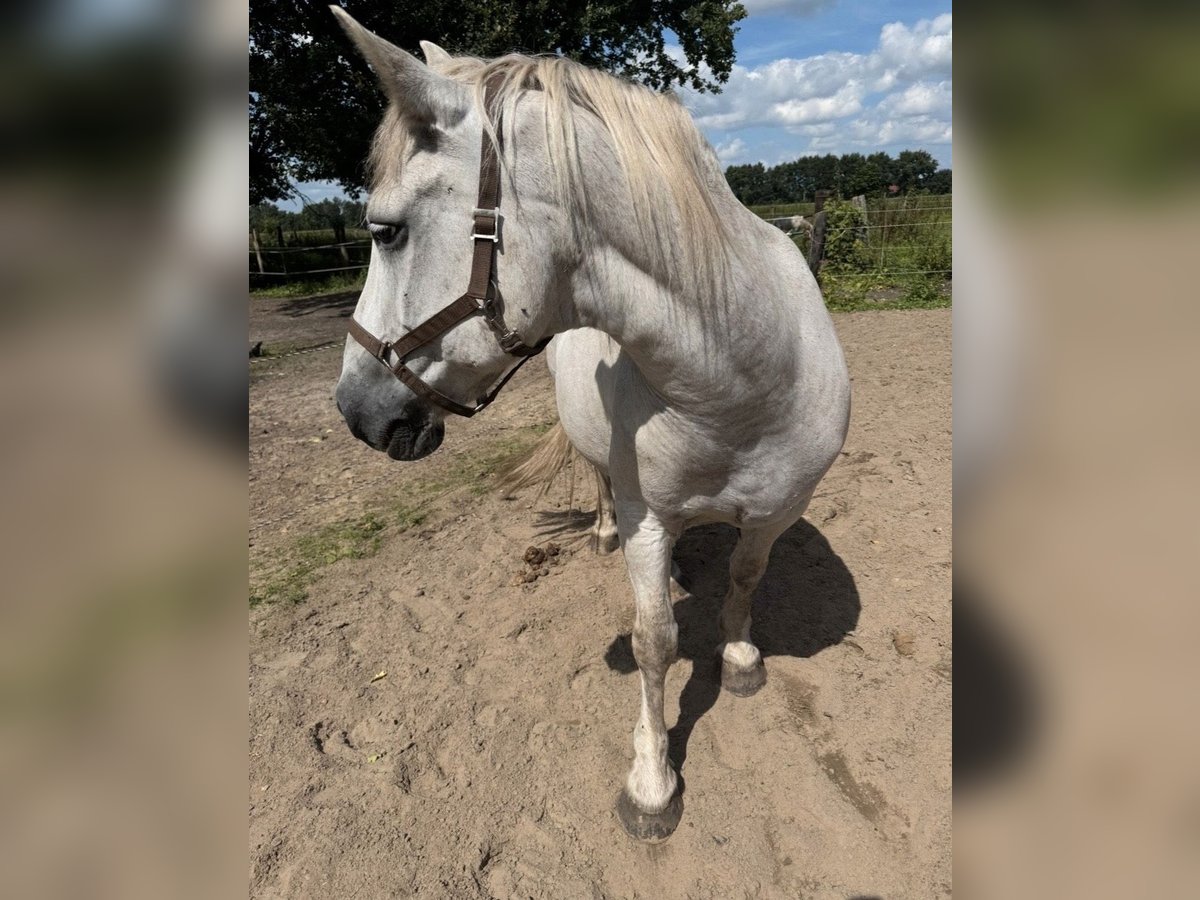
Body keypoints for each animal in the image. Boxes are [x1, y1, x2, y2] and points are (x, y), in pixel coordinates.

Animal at [329, 8, 851, 842]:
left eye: (387, 231)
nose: (355, 410)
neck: (744, 380)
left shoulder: (780, 507)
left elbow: (745, 576)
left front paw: (740, 657)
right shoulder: (649, 519)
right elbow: (655, 641)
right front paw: (652, 782)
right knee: (600, 476)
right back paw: (603, 531)